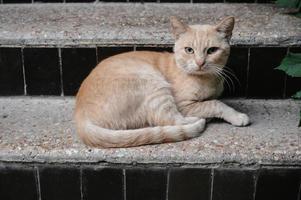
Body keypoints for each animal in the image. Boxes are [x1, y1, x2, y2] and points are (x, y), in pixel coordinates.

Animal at [74, 16, 248, 148]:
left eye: (212, 50)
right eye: (189, 50)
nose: (200, 63)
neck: (206, 79)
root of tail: (81, 117)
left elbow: (213, 101)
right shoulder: (184, 105)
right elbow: (215, 103)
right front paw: (236, 115)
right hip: (154, 85)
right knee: (169, 120)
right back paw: (200, 120)